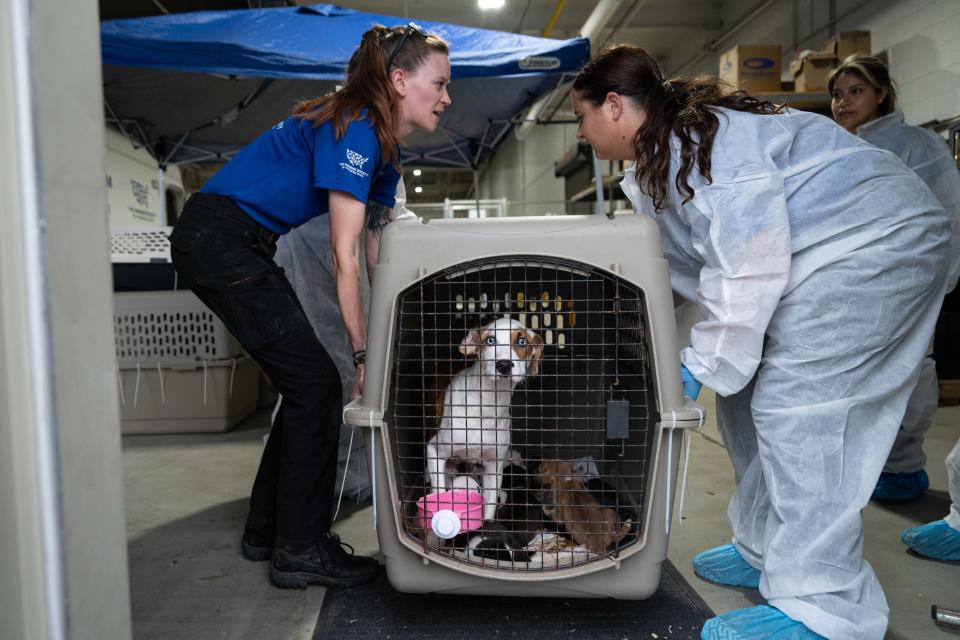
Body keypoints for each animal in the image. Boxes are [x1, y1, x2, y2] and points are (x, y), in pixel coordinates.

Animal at [426, 318, 540, 524]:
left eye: (522, 342)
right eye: (490, 340)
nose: (503, 365)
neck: (487, 404)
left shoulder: (494, 467)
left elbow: (490, 505)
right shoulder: (434, 450)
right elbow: (439, 494)